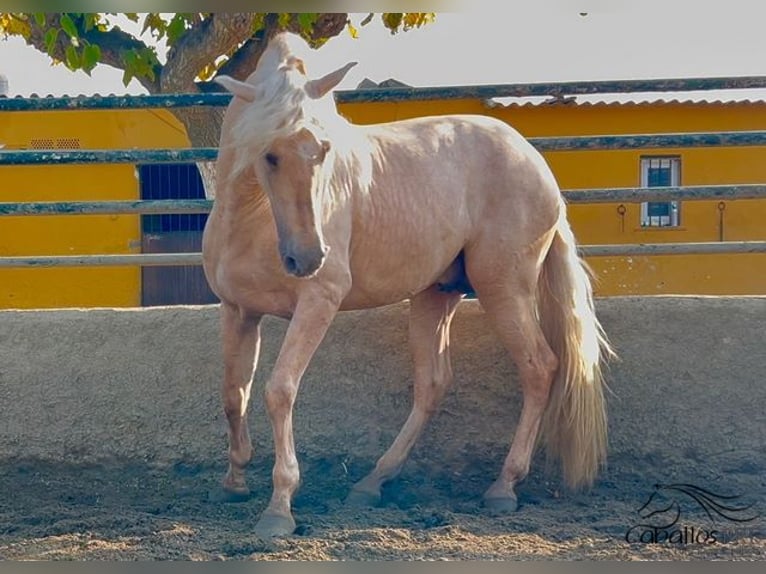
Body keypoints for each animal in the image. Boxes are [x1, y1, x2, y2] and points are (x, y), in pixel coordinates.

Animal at [204, 32, 612, 540]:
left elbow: (279, 390)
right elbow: (232, 393)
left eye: (323, 150)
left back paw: (502, 488)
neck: (250, 219)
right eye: (269, 154)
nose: (310, 257)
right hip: (437, 293)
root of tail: (535, 162)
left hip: (503, 288)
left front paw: (279, 509)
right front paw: (234, 483)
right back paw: (371, 483)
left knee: (540, 367)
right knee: (433, 383)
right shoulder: (238, 310)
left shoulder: (318, 301)